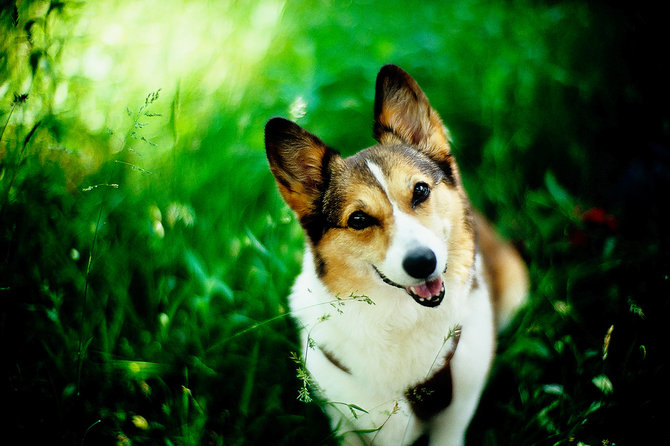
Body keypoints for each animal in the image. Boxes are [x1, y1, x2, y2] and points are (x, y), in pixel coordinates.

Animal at [264, 64, 532, 444]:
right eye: (358, 219)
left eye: (420, 190)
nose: (423, 263)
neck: (402, 316)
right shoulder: (344, 419)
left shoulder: (456, 414)